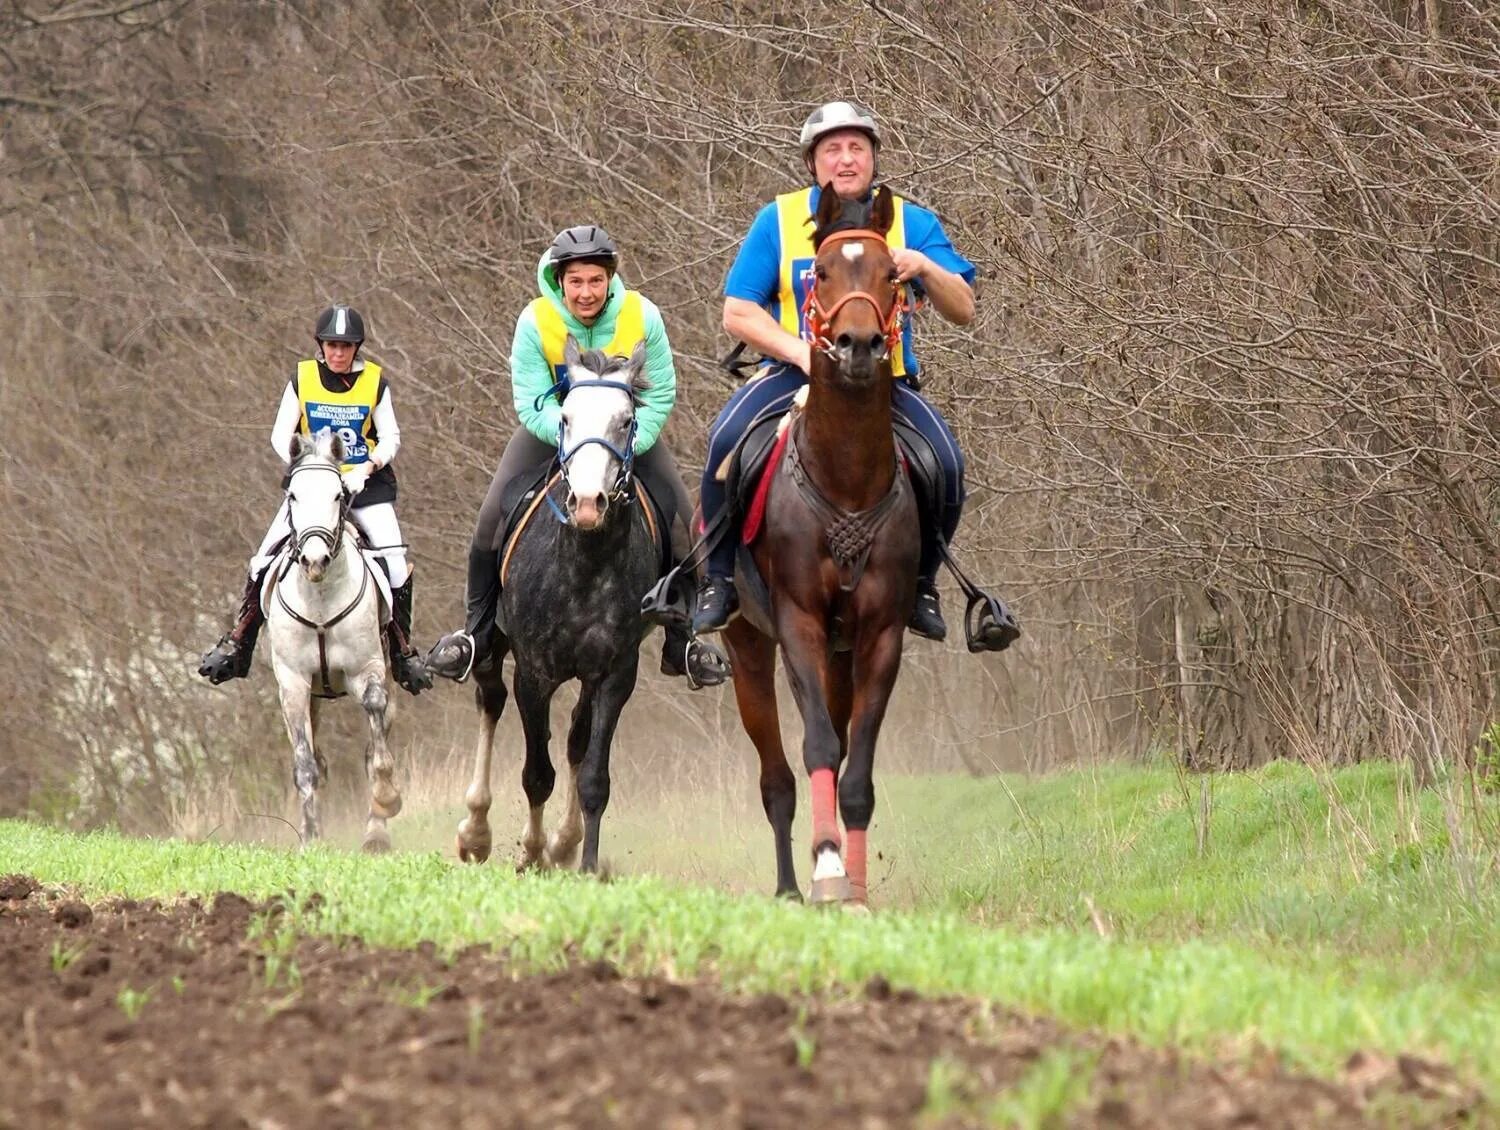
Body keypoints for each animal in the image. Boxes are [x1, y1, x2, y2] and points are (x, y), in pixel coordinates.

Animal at [265, 426, 402, 852]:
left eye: (338, 495)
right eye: (293, 495)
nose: (314, 560)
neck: (321, 598)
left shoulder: (367, 670)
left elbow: (376, 742)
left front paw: (386, 802)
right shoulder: (293, 682)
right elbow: (305, 763)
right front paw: (310, 837)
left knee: (378, 736)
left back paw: (376, 830)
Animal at [453, 334, 660, 870]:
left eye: (626, 421)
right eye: (564, 418)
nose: (587, 504)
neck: (586, 564)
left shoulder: (614, 675)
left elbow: (592, 775)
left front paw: (580, 861)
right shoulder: (534, 673)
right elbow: (536, 773)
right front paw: (530, 855)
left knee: (574, 741)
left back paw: (564, 842)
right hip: (491, 645)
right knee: (490, 702)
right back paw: (475, 832)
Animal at [723, 185, 918, 906]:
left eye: (893, 276)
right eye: (824, 273)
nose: (859, 344)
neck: (848, 477)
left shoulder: (883, 633)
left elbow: (856, 766)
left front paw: (854, 889)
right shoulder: (799, 623)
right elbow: (819, 749)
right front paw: (828, 865)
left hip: (842, 652)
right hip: (747, 648)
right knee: (777, 778)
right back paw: (789, 885)